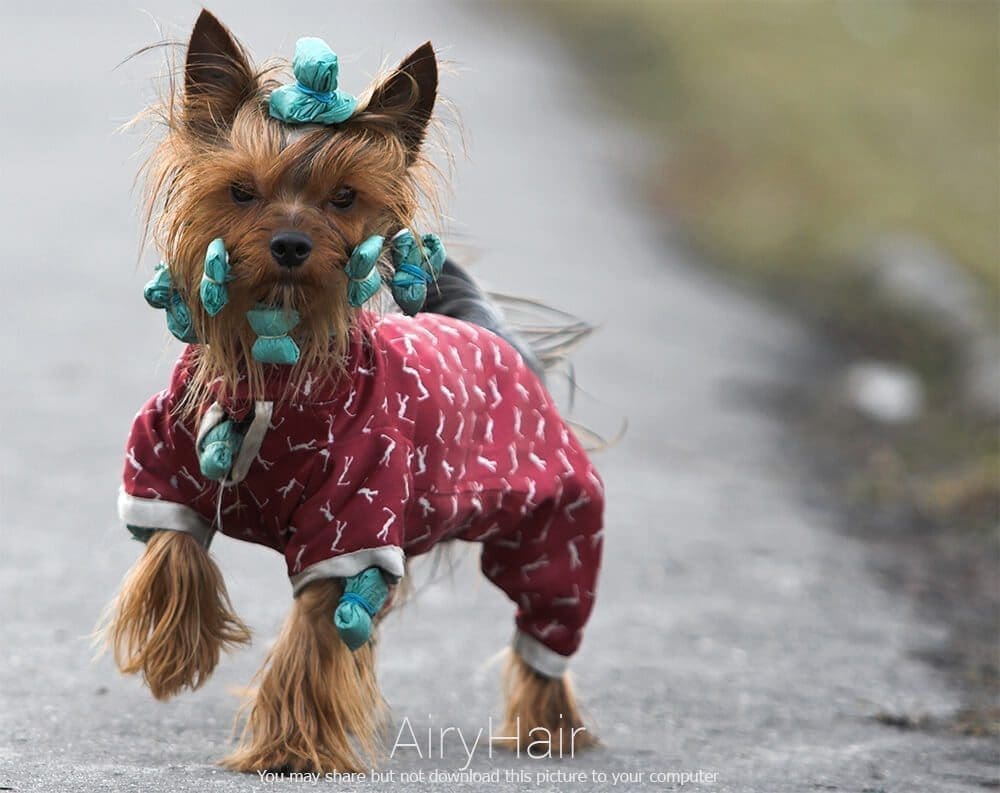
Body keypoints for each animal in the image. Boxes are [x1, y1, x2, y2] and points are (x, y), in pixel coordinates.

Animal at [103, 9, 600, 772]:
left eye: (344, 197)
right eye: (240, 191)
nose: (290, 244)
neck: (278, 366)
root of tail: (498, 339)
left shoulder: (353, 517)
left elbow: (314, 634)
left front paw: (290, 746)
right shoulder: (168, 457)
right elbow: (172, 551)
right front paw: (174, 652)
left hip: (561, 527)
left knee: (546, 627)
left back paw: (552, 726)